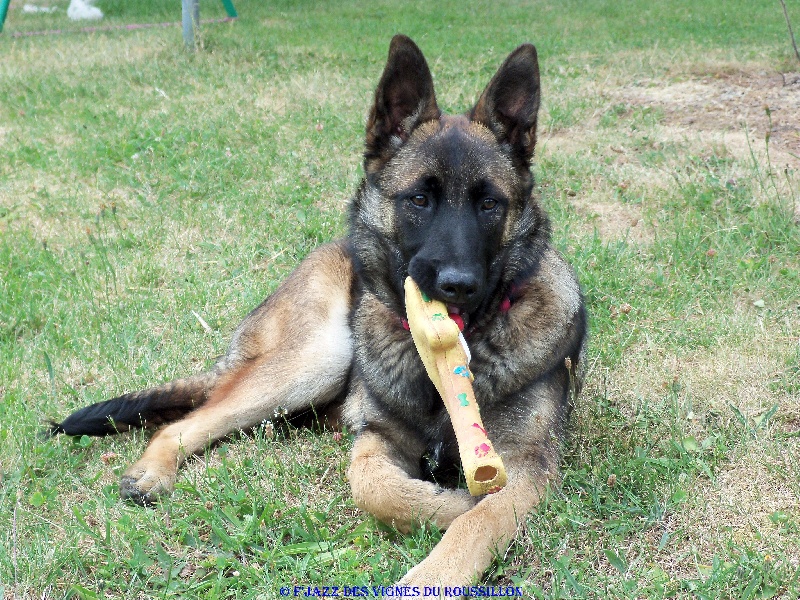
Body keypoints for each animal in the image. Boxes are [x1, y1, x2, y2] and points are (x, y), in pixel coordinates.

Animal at [51, 34, 588, 584]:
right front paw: (449, 505)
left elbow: (482, 519)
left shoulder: (524, 465)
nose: (457, 286)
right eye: (419, 199)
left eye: (489, 204)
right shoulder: (378, 438)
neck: (437, 368)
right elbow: (374, 486)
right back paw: (150, 472)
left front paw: (435, 571)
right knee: (182, 424)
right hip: (317, 359)